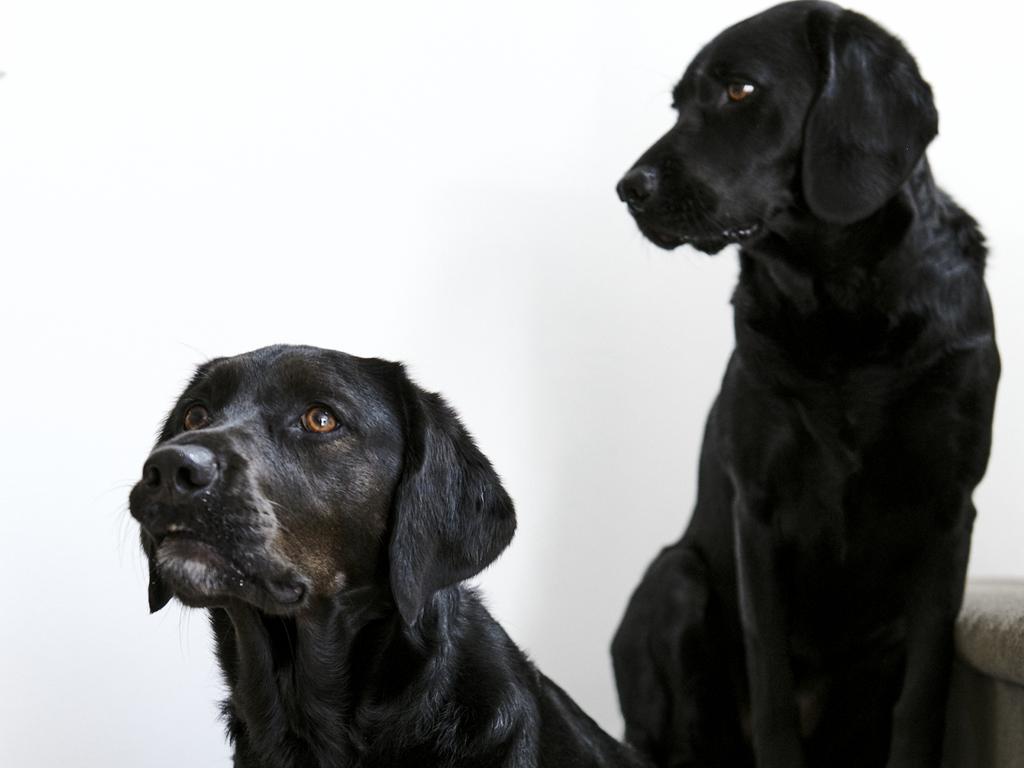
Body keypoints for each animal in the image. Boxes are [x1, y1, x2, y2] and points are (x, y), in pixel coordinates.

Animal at [610, 3, 995, 765]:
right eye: (678, 104)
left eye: (740, 90)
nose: (628, 189)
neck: (841, 306)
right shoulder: (757, 510)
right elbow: (772, 687)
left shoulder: (950, 512)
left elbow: (923, 692)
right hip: (677, 579)